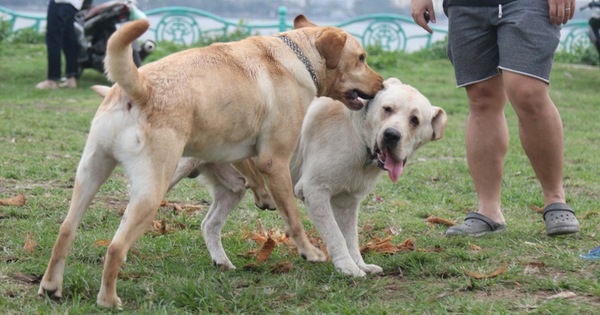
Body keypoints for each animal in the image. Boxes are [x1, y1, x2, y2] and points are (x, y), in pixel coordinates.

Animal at [38, 16, 384, 310]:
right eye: (361, 58)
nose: (381, 84)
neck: (299, 58)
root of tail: (139, 86)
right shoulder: (275, 161)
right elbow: (294, 217)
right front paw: (310, 252)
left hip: (91, 172)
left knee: (66, 229)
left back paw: (51, 287)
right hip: (153, 189)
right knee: (115, 247)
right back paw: (108, 300)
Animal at [171, 78, 448, 278]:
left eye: (415, 120)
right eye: (387, 109)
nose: (391, 135)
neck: (358, 134)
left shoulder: (347, 202)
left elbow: (351, 237)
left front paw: (361, 264)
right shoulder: (315, 192)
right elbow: (336, 236)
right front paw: (349, 268)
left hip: (233, 190)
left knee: (209, 224)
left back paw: (222, 262)